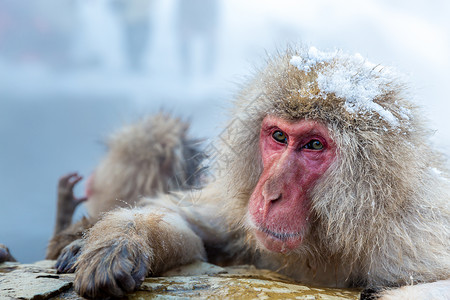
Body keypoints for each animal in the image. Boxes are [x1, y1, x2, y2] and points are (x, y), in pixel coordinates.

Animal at [70, 47, 450, 298]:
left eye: (314, 145)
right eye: (279, 136)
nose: (269, 194)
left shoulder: (411, 239)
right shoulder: (241, 217)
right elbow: (191, 228)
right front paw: (118, 245)